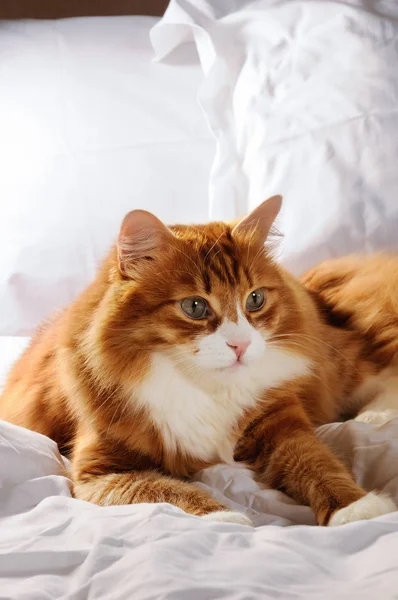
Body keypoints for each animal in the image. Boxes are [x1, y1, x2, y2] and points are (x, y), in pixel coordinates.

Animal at [0, 196, 396, 524]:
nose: (240, 345)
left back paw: (374, 416)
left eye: (255, 299)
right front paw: (226, 517)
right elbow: (164, 489)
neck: (204, 385)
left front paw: (356, 508)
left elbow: (317, 463)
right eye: (194, 306)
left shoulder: (281, 423)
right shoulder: (97, 471)